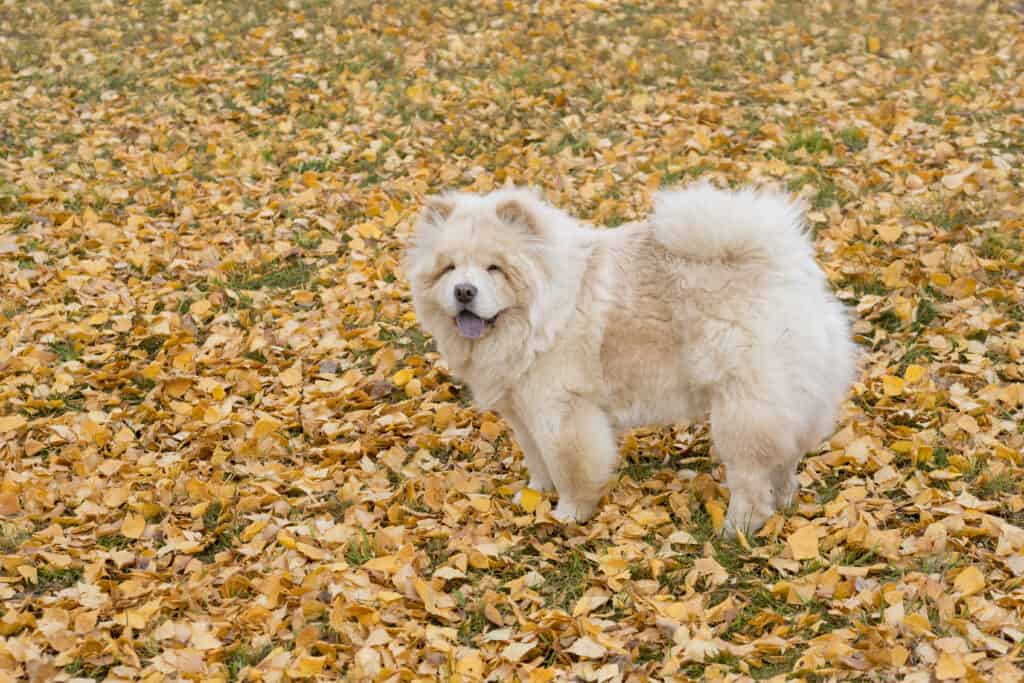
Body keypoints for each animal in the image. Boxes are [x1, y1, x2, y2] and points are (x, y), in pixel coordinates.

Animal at [399, 184, 856, 536]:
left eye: (494, 269)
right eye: (449, 269)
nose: (464, 291)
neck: (540, 315)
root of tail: (786, 266)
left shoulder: (561, 409)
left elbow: (569, 465)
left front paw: (568, 513)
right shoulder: (522, 410)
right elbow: (537, 458)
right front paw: (534, 494)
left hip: (743, 405)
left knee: (751, 474)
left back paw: (737, 527)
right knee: (785, 457)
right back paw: (785, 500)